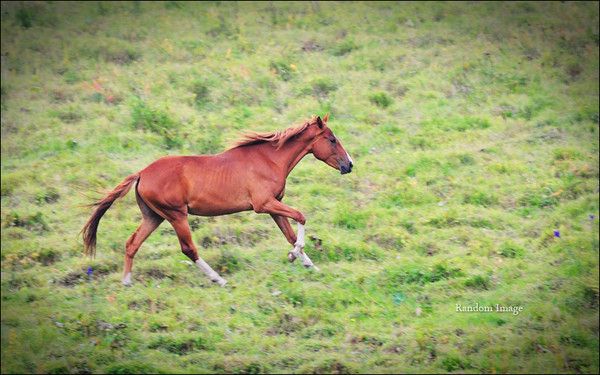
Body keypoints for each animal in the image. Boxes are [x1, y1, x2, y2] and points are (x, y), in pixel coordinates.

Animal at [79, 113, 352, 286]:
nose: (349, 165)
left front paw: (308, 264)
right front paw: (296, 256)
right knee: (188, 249)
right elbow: (301, 217)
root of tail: (142, 173)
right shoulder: (263, 205)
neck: (269, 159)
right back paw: (218, 279)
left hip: (154, 216)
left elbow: (291, 234)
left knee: (132, 243)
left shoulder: (274, 207)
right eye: (332, 140)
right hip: (176, 215)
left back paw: (126, 282)